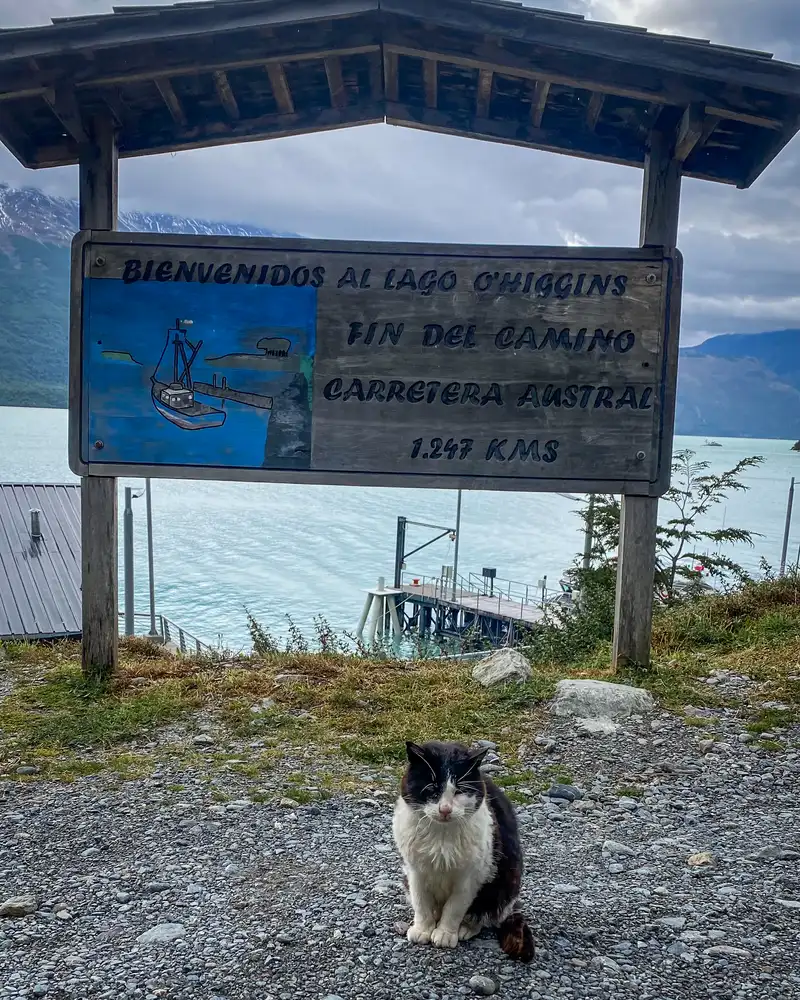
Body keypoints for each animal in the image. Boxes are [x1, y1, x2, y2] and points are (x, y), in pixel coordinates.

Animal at [390, 744, 536, 960]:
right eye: (432, 788)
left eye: (460, 791)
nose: (445, 809)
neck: (441, 838)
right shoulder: (415, 870)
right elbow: (421, 902)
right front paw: (423, 929)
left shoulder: (471, 876)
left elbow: (455, 907)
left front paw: (445, 933)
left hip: (505, 881)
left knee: (484, 913)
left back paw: (465, 928)